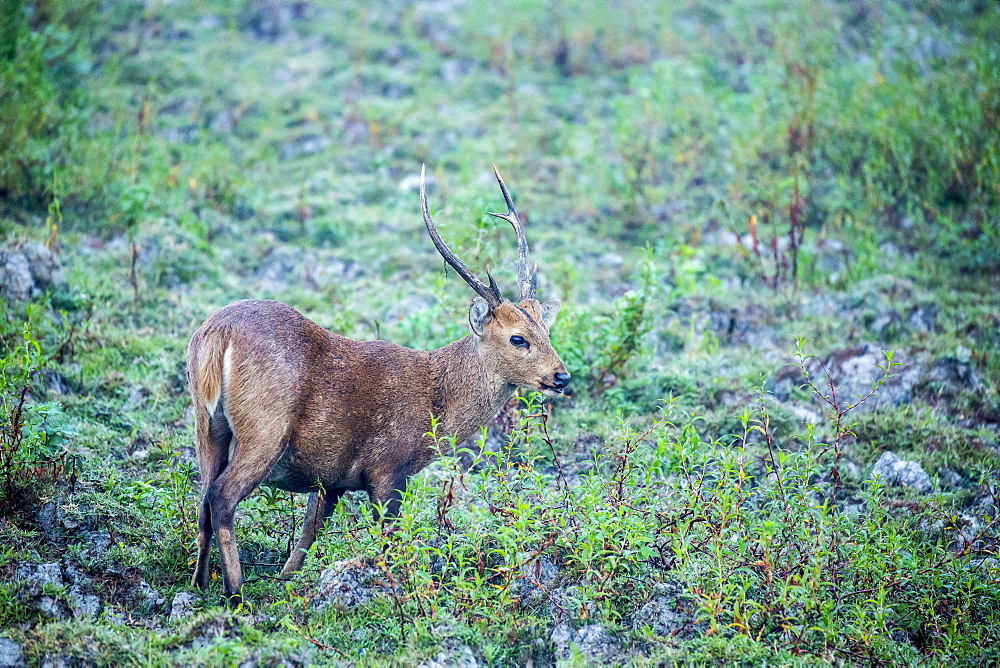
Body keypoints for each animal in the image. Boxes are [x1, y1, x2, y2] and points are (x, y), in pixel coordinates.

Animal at [184, 164, 568, 604]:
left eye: (547, 331)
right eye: (518, 338)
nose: (562, 376)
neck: (434, 405)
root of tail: (217, 335)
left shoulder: (331, 477)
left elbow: (307, 536)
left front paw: (288, 583)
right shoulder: (388, 468)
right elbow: (389, 541)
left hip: (206, 423)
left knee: (203, 500)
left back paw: (198, 584)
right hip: (264, 425)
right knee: (222, 497)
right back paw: (236, 592)